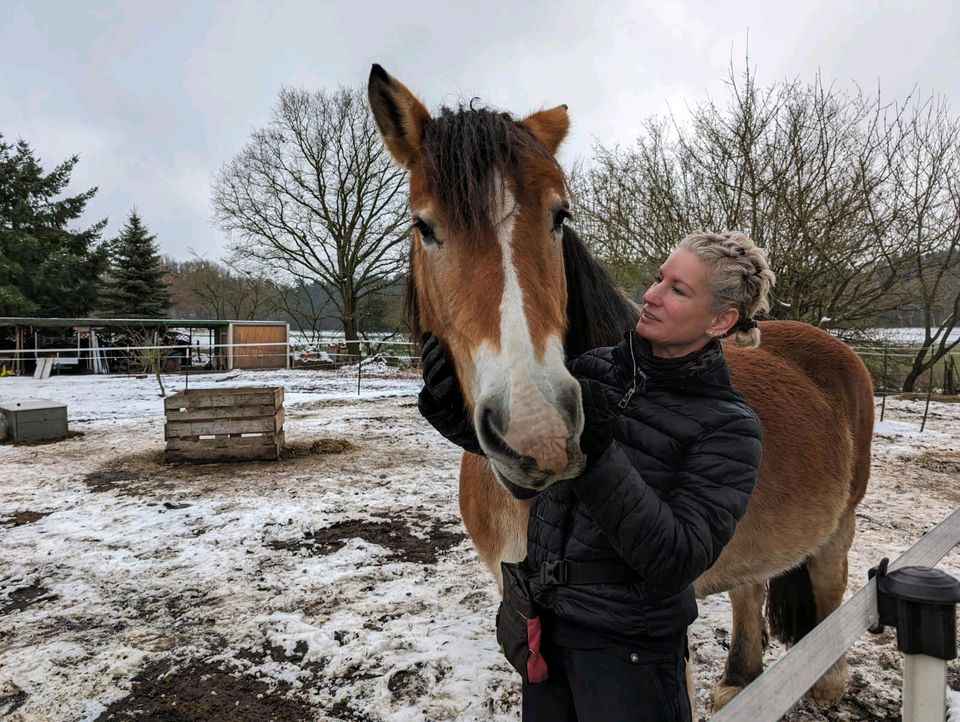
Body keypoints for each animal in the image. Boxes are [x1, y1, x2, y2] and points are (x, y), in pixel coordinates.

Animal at [366, 63, 872, 708]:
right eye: (424, 225)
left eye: (560, 216)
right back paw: (740, 679)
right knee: (751, 590)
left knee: (830, 594)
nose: (539, 432)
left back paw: (824, 683)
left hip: (839, 531)